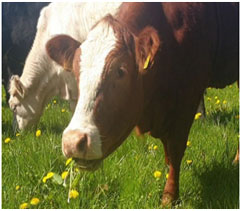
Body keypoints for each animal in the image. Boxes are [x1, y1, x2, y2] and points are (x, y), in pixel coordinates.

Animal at [46, 2, 238, 205]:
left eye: (121, 70)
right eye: (76, 72)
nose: (73, 141)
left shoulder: (188, 98)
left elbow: (176, 149)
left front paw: (169, 196)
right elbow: (168, 152)